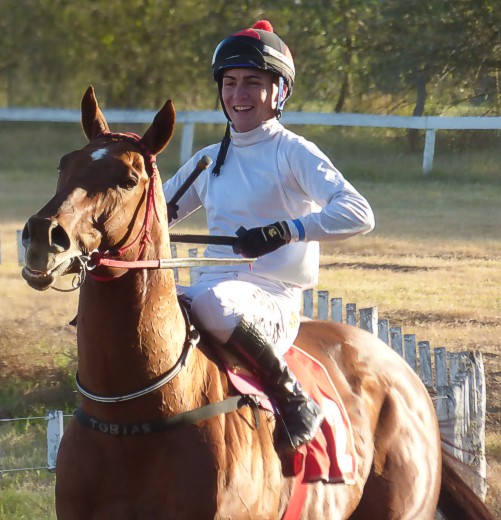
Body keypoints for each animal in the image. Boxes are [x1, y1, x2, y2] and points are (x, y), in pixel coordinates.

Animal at [21, 86, 495, 520]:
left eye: (128, 178)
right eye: (66, 164)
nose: (43, 236)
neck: (133, 416)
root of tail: (403, 371)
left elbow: (355, 207)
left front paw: (266, 236)